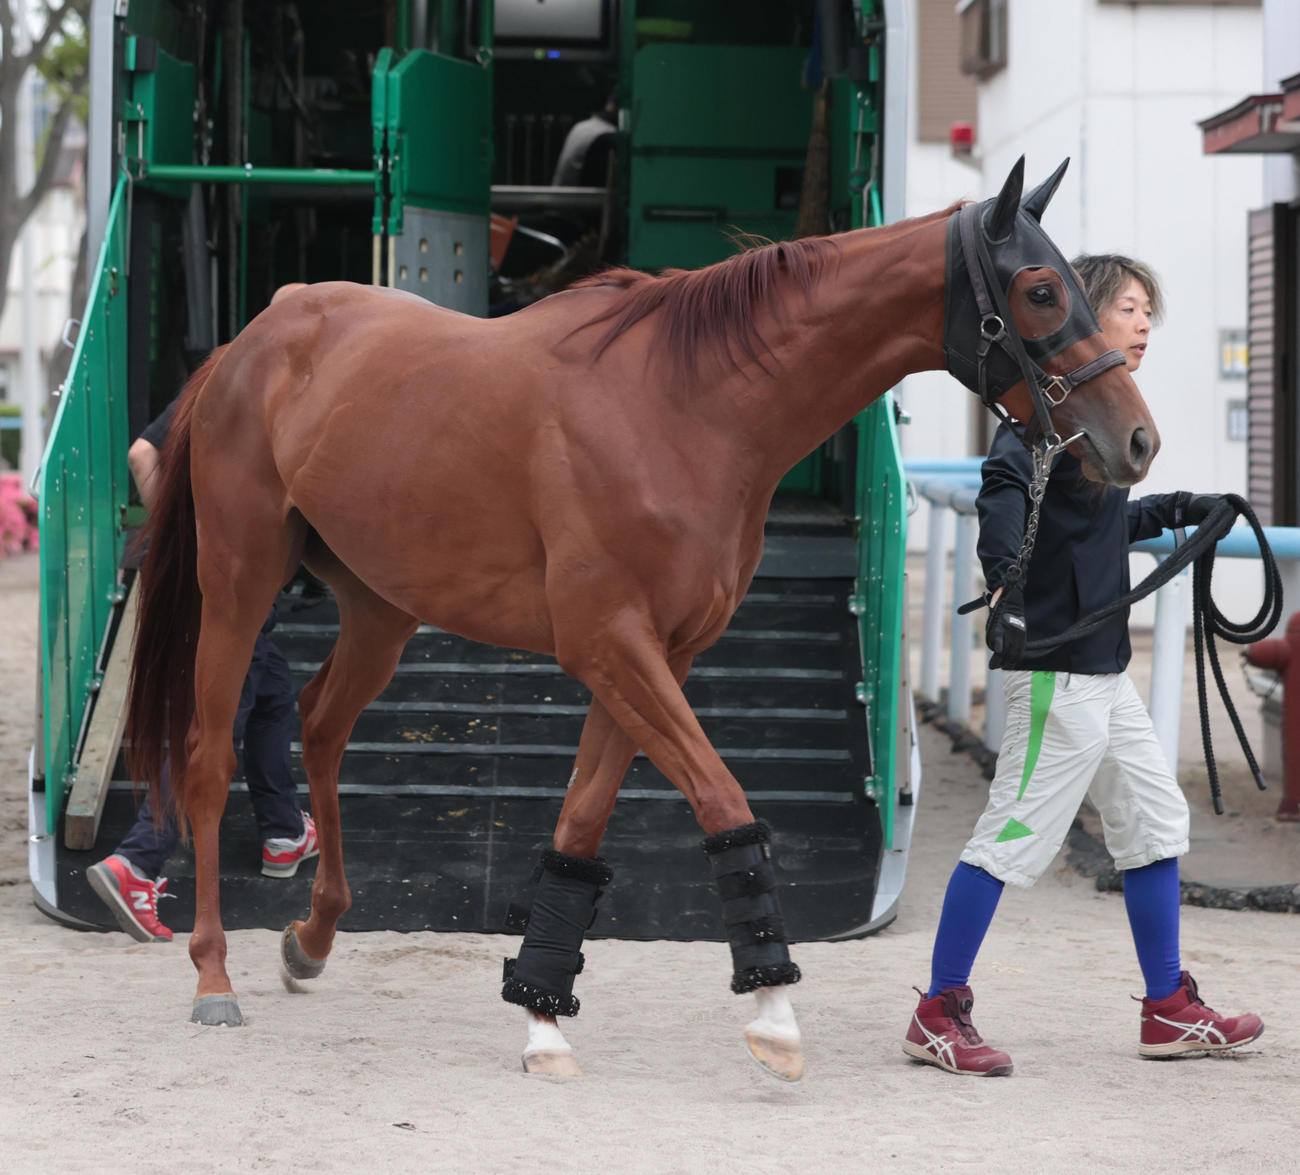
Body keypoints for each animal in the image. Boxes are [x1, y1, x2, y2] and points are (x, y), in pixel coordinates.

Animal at [125, 157, 1157, 1081]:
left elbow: (581, 828)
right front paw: (773, 1012)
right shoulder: (612, 647)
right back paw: (213, 974)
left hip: (381, 610)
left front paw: (543, 1020)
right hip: (239, 582)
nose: (1137, 440)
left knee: (320, 724)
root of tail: (255, 338)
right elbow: (724, 804)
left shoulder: (657, 656)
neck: (684, 407)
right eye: (1037, 289)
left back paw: (312, 934)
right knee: (208, 759)